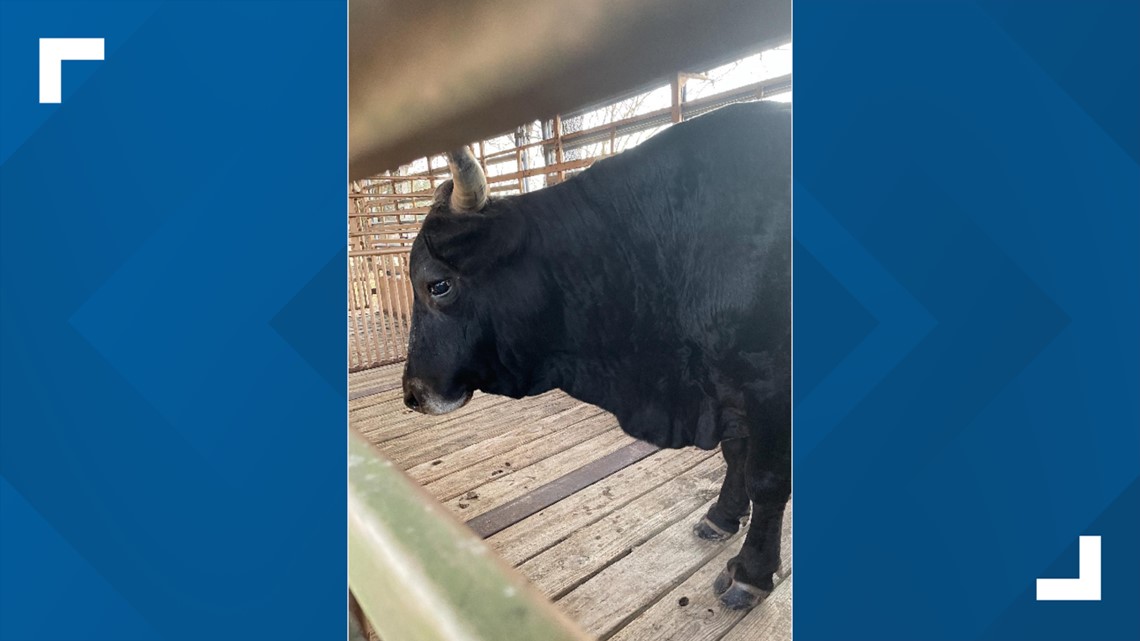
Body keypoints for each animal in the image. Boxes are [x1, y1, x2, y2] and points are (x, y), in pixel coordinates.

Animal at [401, 101, 790, 610]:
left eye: (438, 284)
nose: (412, 392)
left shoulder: (769, 384)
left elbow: (767, 478)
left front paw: (751, 572)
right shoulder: (725, 387)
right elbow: (735, 454)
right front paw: (722, 516)